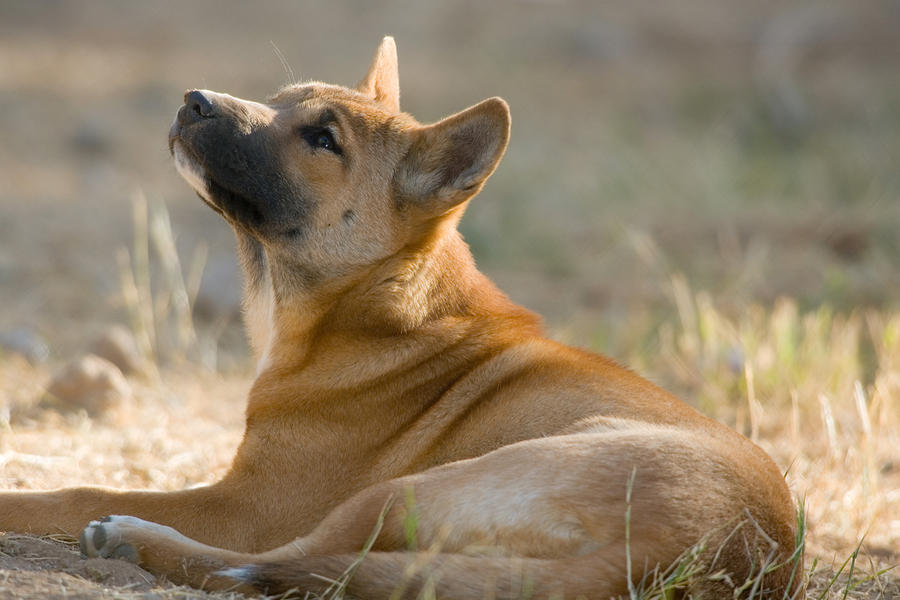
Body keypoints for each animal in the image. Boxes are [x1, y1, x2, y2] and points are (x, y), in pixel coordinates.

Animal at [1, 38, 800, 600]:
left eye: (323, 139)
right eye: (280, 100)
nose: (193, 100)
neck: (371, 307)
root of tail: (685, 555)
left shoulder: (248, 507)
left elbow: (82, 491)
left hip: (404, 490)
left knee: (267, 566)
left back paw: (133, 541)